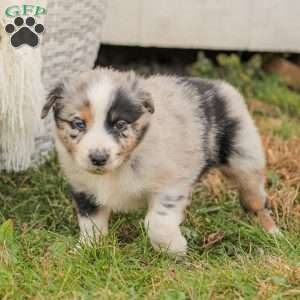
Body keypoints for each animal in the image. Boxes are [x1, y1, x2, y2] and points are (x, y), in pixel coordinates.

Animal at [41, 68, 278, 255]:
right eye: (78, 124)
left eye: (120, 124)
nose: (98, 158)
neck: (122, 164)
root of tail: (217, 85)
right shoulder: (84, 189)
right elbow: (91, 224)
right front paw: (87, 250)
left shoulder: (171, 184)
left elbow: (157, 223)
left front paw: (174, 249)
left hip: (245, 157)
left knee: (256, 200)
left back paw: (272, 232)